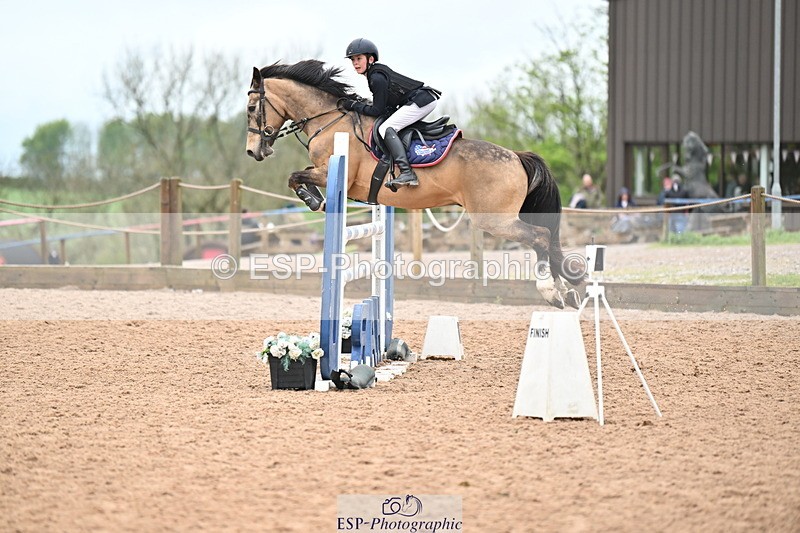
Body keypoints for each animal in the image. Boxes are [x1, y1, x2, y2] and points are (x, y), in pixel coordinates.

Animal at [245, 60, 583, 308]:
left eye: (250, 109)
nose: (253, 152)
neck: (328, 119)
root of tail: (515, 156)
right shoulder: (325, 172)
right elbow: (298, 175)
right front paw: (316, 199)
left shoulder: (333, 173)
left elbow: (295, 176)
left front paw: (314, 200)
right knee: (548, 240)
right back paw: (567, 290)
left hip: (493, 219)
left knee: (540, 237)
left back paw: (551, 292)